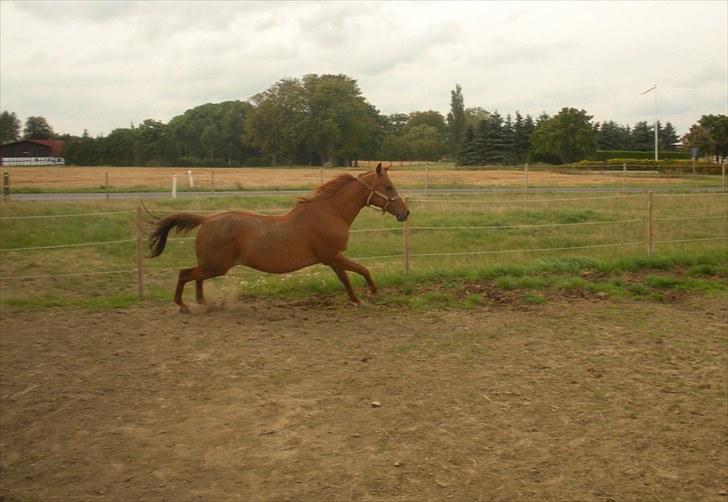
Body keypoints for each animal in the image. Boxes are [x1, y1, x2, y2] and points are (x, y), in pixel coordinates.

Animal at [148, 165, 410, 312]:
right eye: (388, 187)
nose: (405, 213)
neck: (330, 212)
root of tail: (207, 220)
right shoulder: (332, 256)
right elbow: (362, 270)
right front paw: (372, 293)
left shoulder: (332, 258)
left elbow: (346, 279)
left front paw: (356, 300)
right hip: (217, 266)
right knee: (185, 274)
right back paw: (183, 306)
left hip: (212, 266)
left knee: (196, 277)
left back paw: (203, 303)